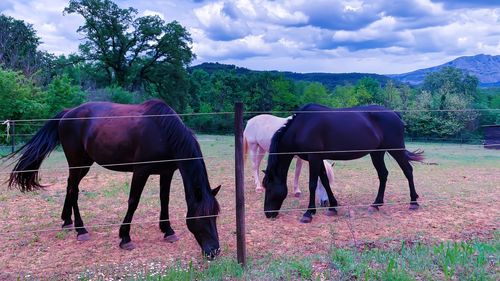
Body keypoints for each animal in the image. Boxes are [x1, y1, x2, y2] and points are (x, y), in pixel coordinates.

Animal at [6, 99, 222, 258]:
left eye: (215, 215)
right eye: (201, 217)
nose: (214, 251)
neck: (163, 130)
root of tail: (68, 113)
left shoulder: (167, 172)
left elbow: (164, 200)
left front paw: (168, 231)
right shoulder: (141, 171)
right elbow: (133, 201)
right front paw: (125, 237)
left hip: (84, 164)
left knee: (70, 186)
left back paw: (67, 221)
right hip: (77, 163)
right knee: (74, 190)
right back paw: (81, 230)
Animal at [264, 103, 424, 223]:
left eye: (269, 187)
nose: (268, 213)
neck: (303, 126)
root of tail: (395, 114)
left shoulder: (314, 158)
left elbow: (312, 184)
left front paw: (308, 213)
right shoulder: (318, 159)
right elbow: (325, 181)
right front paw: (332, 207)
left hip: (396, 150)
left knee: (408, 171)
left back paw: (413, 202)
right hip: (377, 153)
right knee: (383, 174)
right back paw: (376, 204)